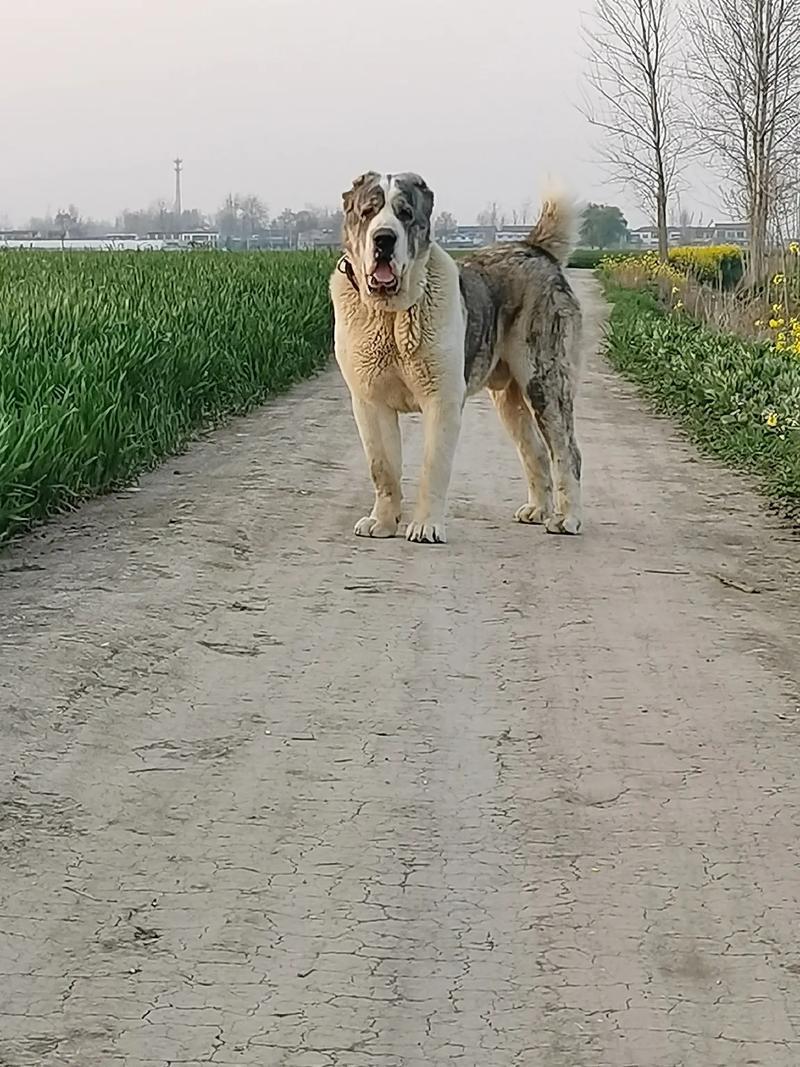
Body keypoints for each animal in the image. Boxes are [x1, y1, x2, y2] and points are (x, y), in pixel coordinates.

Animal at [328, 173, 584, 546]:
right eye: (368, 212)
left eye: (405, 214)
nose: (384, 238)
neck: (391, 314)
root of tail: (534, 248)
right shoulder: (370, 403)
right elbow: (383, 468)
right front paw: (383, 523)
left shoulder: (442, 400)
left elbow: (433, 466)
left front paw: (425, 527)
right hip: (508, 399)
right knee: (534, 449)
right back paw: (537, 510)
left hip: (545, 382)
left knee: (566, 451)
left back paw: (567, 519)